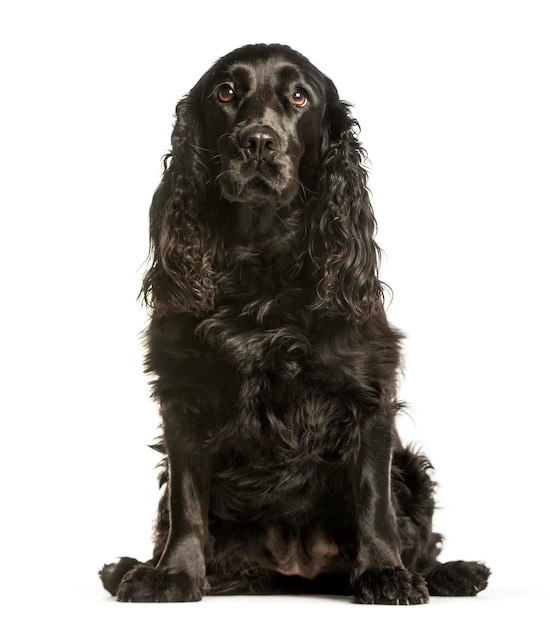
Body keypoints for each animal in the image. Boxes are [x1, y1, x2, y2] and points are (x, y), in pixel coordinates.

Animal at [100, 42, 492, 600]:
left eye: (299, 96)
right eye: (226, 92)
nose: (258, 142)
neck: (261, 259)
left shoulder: (369, 396)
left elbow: (374, 502)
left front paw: (384, 572)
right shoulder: (182, 397)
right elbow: (186, 503)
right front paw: (173, 574)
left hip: (411, 468)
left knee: (421, 541)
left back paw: (450, 572)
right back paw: (132, 566)